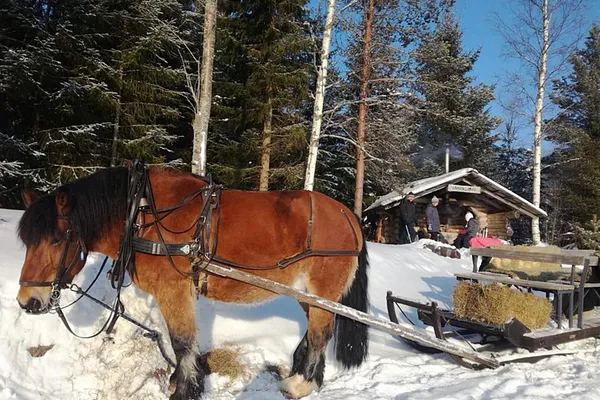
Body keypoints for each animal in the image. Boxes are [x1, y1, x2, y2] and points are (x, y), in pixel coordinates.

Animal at [15, 164, 370, 398]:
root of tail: (348, 215)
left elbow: (182, 341)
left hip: (321, 292)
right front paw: (179, 380)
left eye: (57, 240)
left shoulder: (173, 289)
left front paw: (184, 390)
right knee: (316, 331)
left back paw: (300, 384)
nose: (27, 302)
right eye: (28, 241)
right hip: (306, 293)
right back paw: (309, 377)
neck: (140, 214)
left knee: (321, 334)